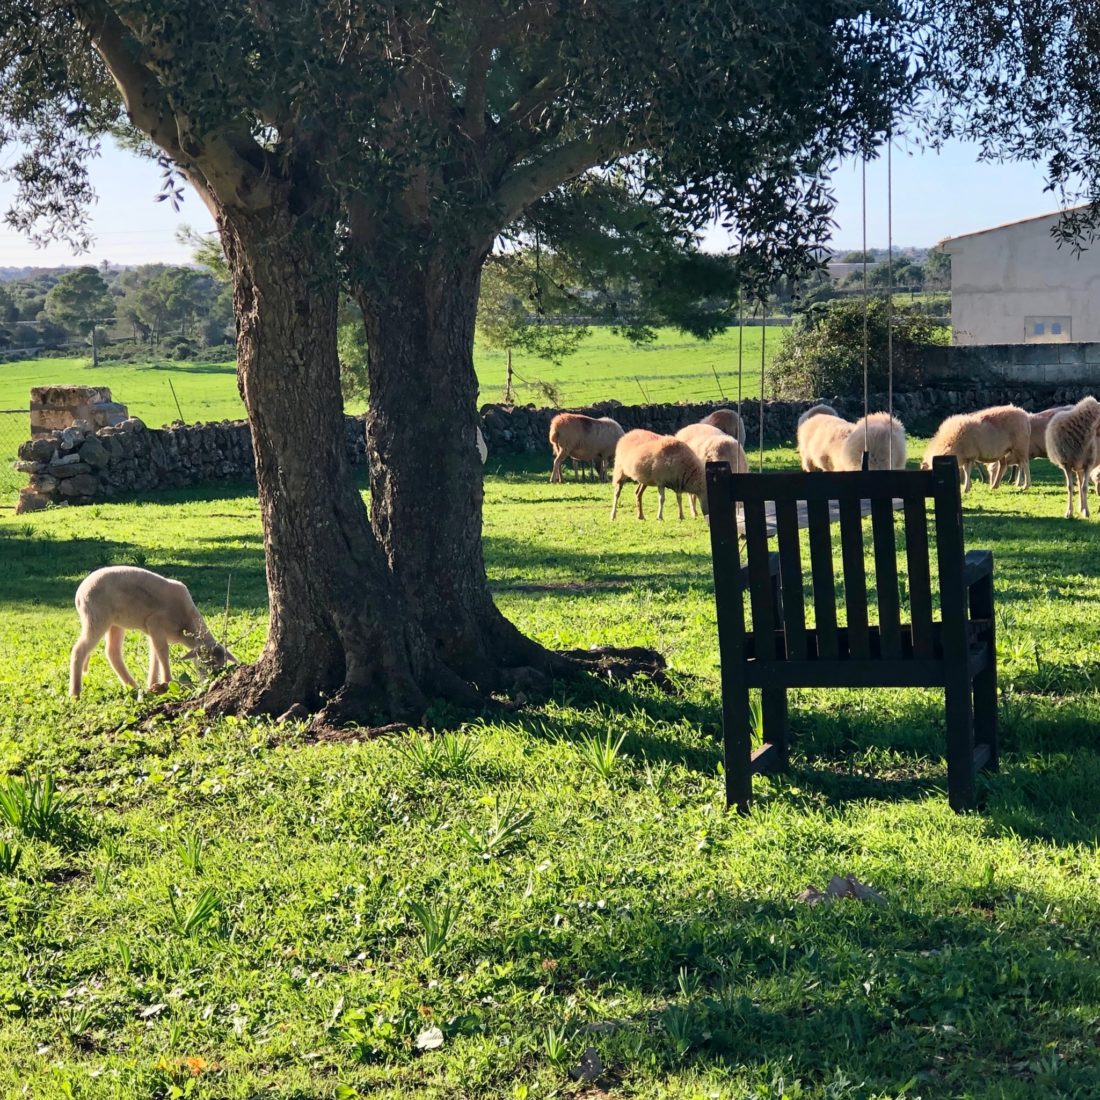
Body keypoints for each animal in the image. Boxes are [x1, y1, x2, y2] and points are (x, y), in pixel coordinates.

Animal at [72, 567, 239, 695]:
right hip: (96, 617)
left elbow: (155, 655)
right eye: (205, 663)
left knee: (112, 652)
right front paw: (167, 681)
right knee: (79, 650)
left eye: (222, 665)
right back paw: (75, 694)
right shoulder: (155, 623)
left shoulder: (153, 631)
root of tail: (79, 593)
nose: (210, 682)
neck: (187, 624)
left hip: (115, 623)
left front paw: (153, 685)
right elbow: (163, 652)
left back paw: (134, 687)